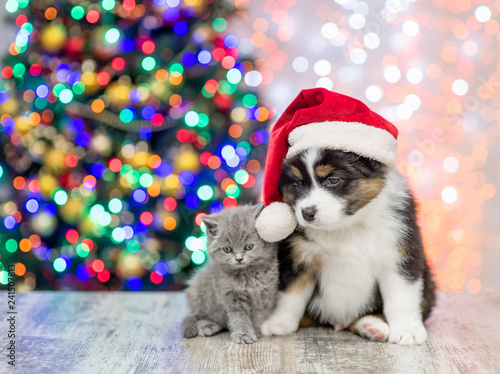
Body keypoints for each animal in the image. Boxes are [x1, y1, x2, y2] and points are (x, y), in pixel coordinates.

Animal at [183, 205, 280, 344]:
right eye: (227, 249)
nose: (239, 258)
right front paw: (243, 334)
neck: (248, 276)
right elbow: (239, 317)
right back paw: (207, 326)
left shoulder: (266, 294)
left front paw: (256, 330)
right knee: (196, 316)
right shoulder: (231, 295)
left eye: (249, 247)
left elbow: (259, 314)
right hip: (198, 293)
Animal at [260, 148, 436, 344]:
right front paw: (278, 323)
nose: (307, 213)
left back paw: (372, 325)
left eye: (333, 180)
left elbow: (402, 297)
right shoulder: (299, 258)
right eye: (297, 182)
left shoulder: (400, 256)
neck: (346, 226)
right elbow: (291, 295)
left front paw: (407, 331)